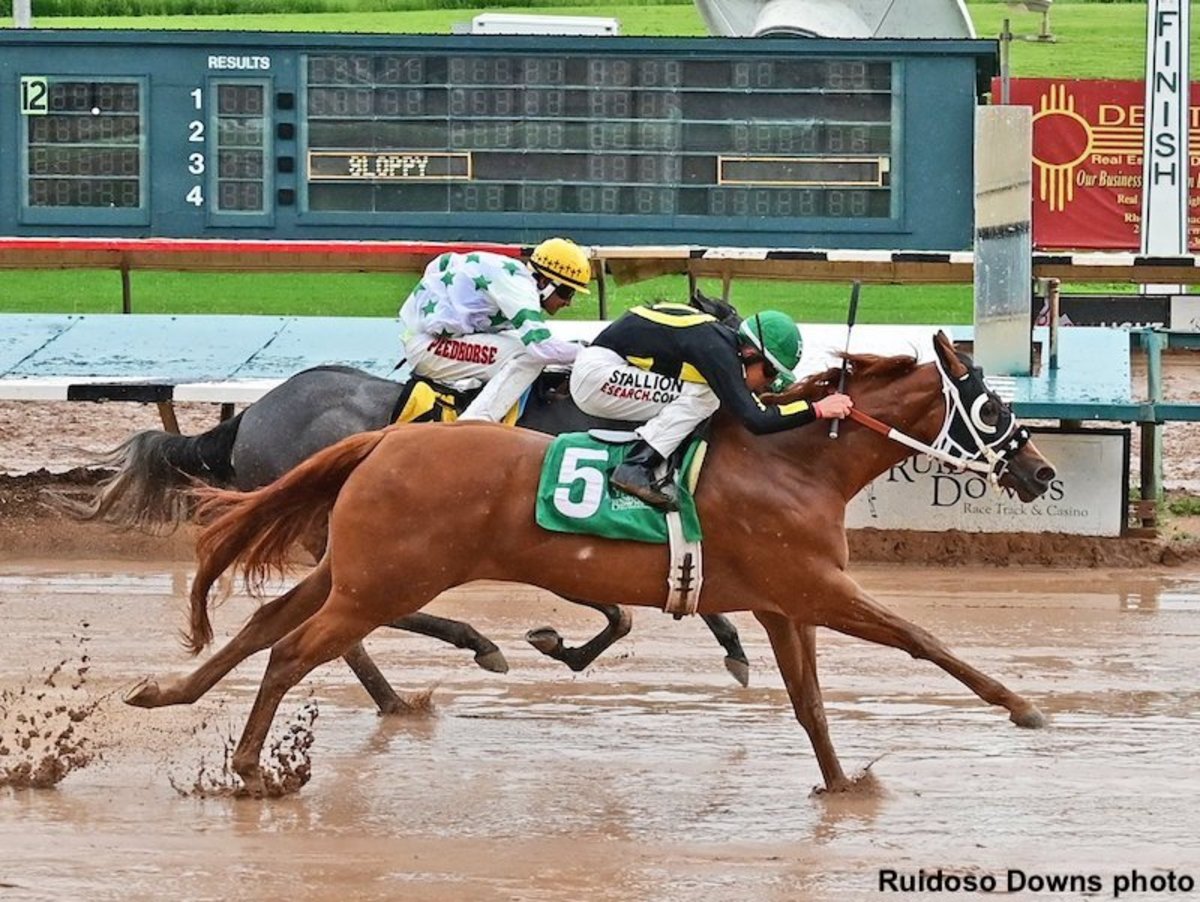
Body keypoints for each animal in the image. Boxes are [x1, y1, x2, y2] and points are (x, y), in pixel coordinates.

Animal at [126, 328, 1056, 791]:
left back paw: (164, 692)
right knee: (295, 650)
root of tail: (384, 439)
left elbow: (811, 705)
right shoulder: (819, 589)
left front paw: (843, 787)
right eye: (992, 405)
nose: (1041, 472)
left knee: (264, 627)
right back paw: (255, 766)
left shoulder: (783, 603)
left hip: (349, 568)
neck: (793, 462)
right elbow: (920, 640)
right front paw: (1022, 707)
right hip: (382, 580)